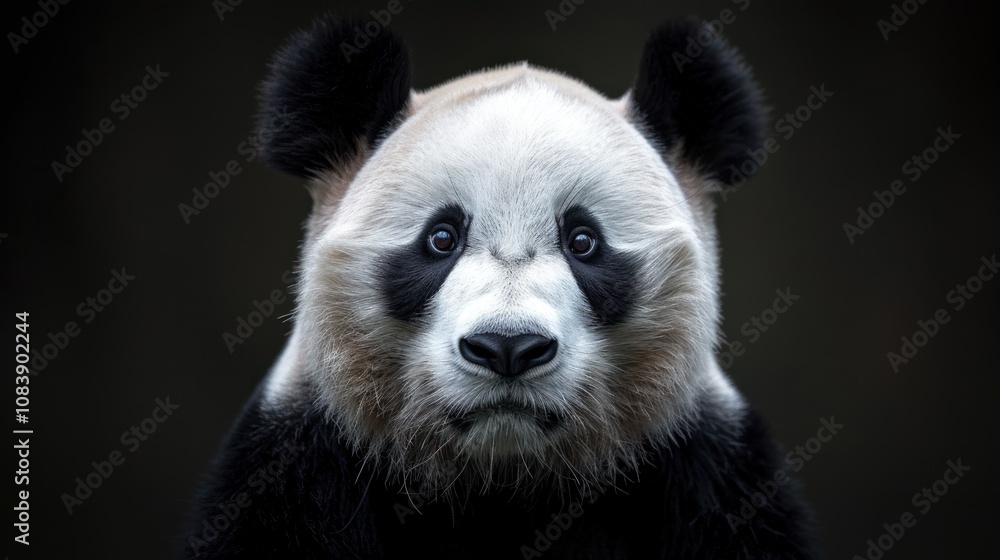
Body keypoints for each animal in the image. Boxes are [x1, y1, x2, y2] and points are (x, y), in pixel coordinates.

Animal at [185, 13, 817, 560]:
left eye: (583, 241)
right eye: (441, 238)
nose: (508, 348)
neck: (504, 483)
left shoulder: (710, 474)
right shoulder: (296, 465)